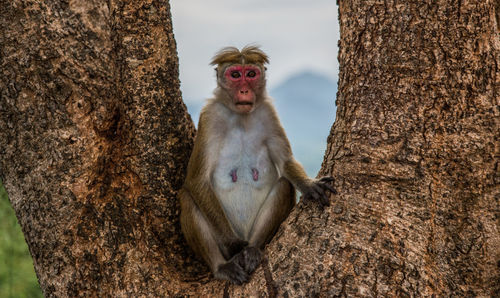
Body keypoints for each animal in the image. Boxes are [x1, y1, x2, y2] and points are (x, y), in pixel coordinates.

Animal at [180, 46, 336, 284]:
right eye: (235, 75)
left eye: (251, 74)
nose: (244, 90)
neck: (241, 116)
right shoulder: (209, 116)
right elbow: (197, 179)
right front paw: (234, 245)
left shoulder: (268, 113)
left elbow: (285, 161)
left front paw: (309, 185)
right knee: (188, 198)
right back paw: (223, 265)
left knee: (284, 185)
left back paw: (253, 249)